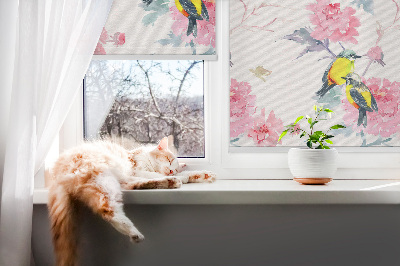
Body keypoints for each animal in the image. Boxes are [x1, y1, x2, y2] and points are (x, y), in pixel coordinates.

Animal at [47, 137, 216, 266]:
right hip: (103, 178)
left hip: (114, 181)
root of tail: (56, 172)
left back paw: (170, 182)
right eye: (169, 160)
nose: (171, 171)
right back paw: (134, 232)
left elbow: (185, 174)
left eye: (174, 166)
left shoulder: (135, 174)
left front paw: (203, 175)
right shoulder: (137, 169)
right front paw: (182, 176)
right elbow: (153, 174)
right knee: (107, 209)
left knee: (134, 186)